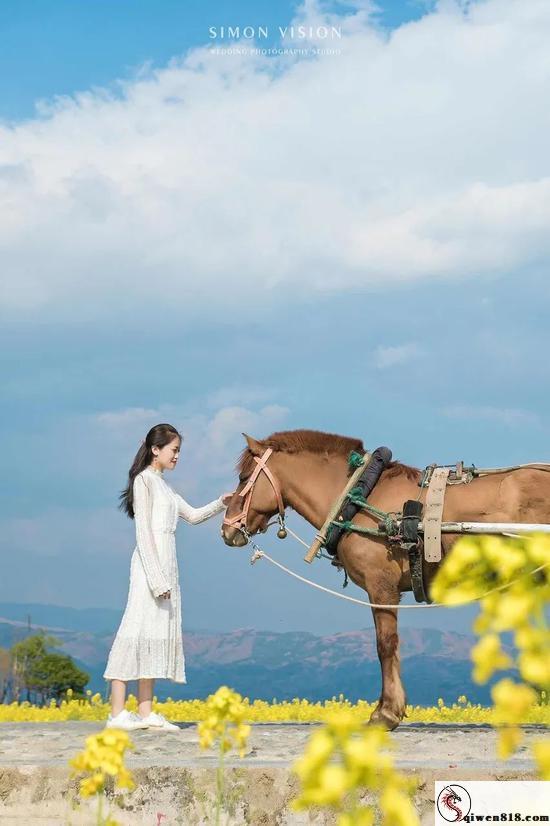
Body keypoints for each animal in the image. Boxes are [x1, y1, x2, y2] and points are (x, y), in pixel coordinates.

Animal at [222, 428, 550, 724]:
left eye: (243, 478)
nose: (227, 528)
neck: (358, 499)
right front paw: (389, 706)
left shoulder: (381, 588)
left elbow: (385, 644)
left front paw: (387, 712)